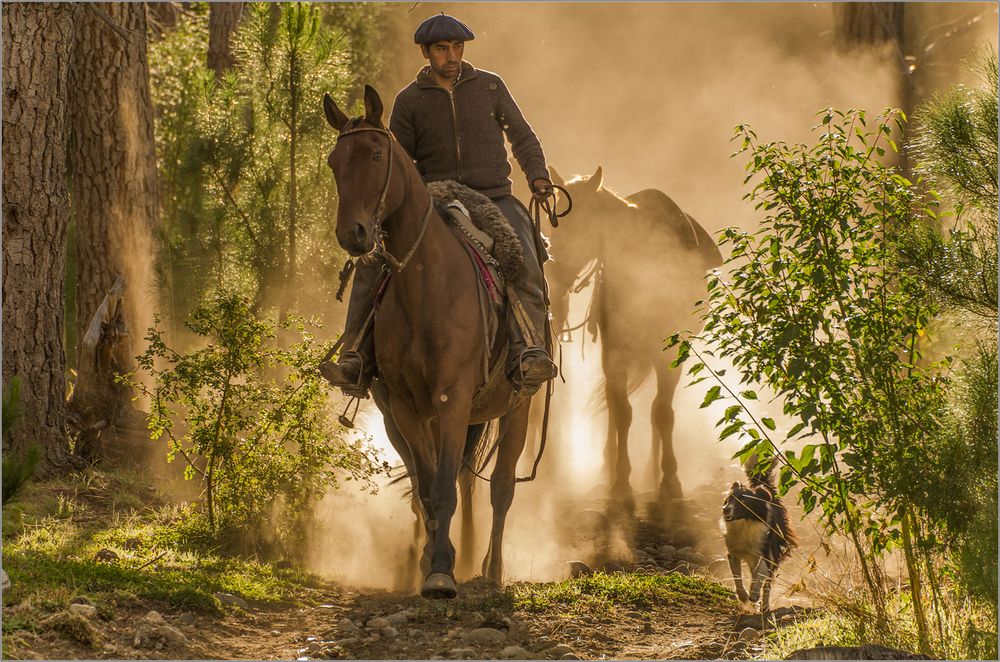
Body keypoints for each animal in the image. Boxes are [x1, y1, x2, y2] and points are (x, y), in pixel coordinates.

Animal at [548, 167, 720, 508]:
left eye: (578, 222)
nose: (552, 274)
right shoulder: (614, 351)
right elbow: (622, 412)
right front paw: (620, 481)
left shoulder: (669, 355)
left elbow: (662, 414)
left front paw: (669, 480)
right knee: (616, 407)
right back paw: (610, 462)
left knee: (656, 414)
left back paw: (652, 469)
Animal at [720, 460, 796, 616]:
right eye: (729, 499)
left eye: (743, 501)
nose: (725, 509)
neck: (745, 522)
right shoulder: (733, 552)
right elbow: (737, 577)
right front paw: (743, 597)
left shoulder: (764, 552)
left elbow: (761, 574)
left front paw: (754, 595)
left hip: (774, 551)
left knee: (766, 583)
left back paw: (764, 606)